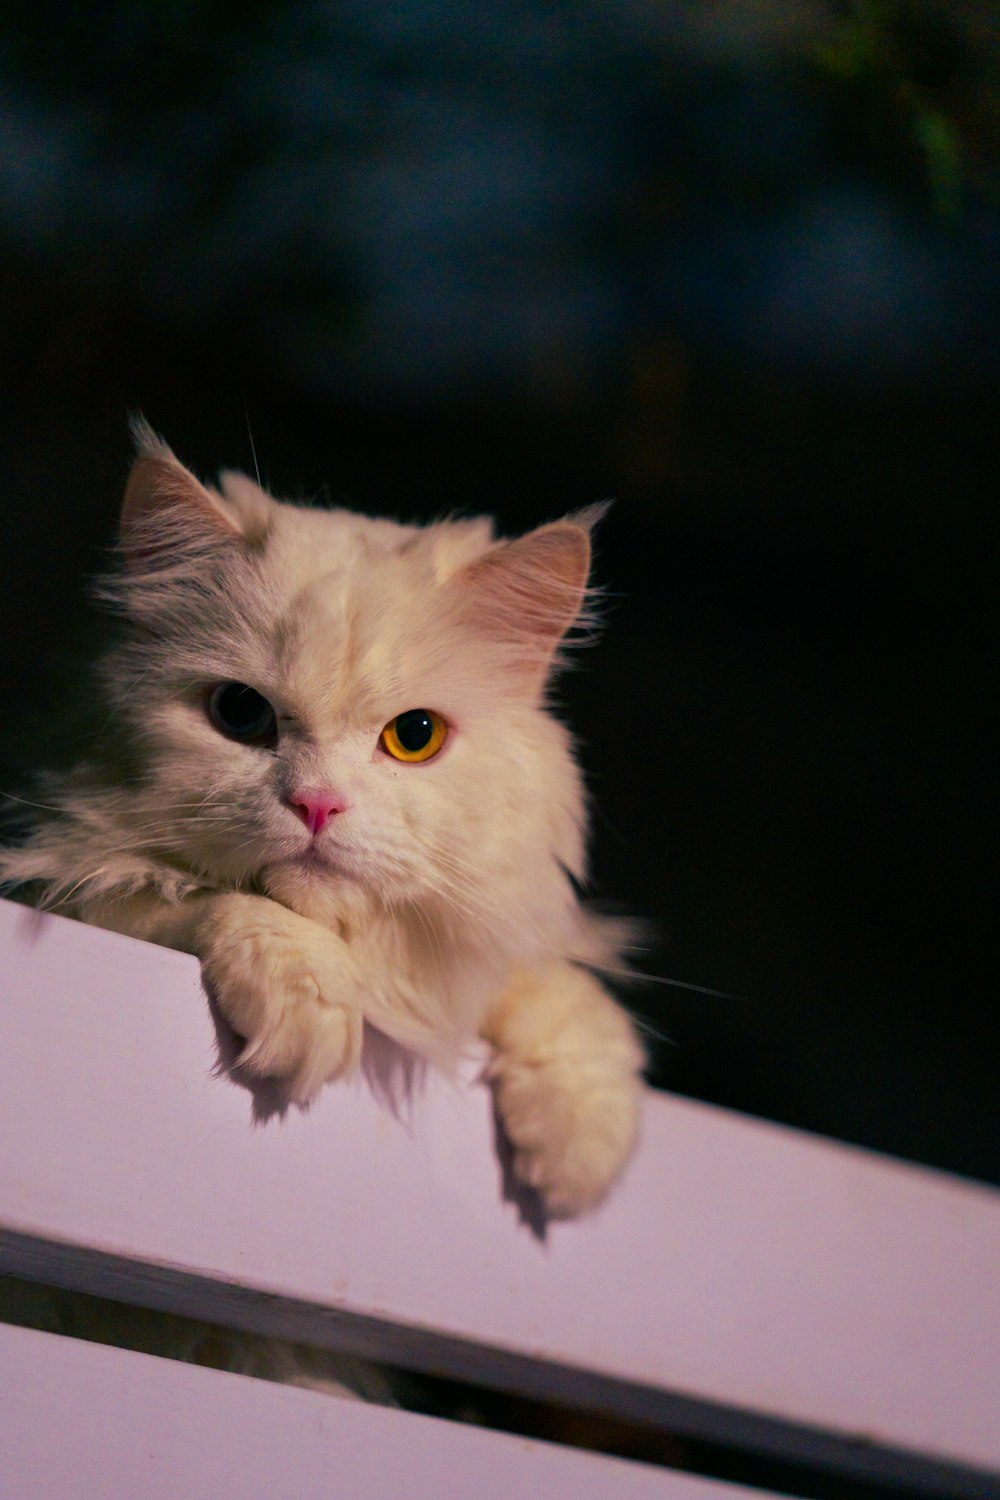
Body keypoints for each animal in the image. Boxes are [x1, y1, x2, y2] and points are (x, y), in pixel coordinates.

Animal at [1, 423, 641, 1218]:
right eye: (240, 713)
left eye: (416, 735)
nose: (317, 804)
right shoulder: (53, 868)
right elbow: (190, 897)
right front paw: (311, 1001)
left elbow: (562, 994)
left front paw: (578, 1146)